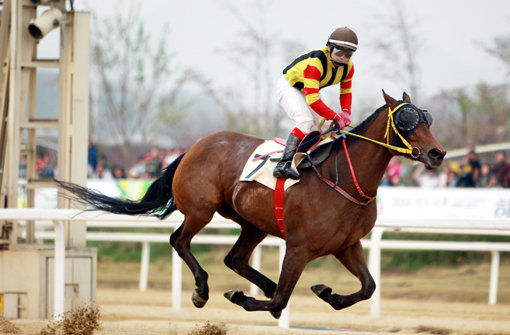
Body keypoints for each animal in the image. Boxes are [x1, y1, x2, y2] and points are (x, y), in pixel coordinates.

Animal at [56, 90, 446, 318]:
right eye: (406, 121)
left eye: (427, 119)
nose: (437, 153)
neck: (344, 179)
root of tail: (194, 146)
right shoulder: (299, 247)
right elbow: (281, 301)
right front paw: (242, 298)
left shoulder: (346, 245)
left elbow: (368, 287)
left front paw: (327, 293)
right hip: (200, 210)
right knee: (179, 241)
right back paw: (202, 290)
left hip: (253, 223)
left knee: (235, 258)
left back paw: (259, 283)